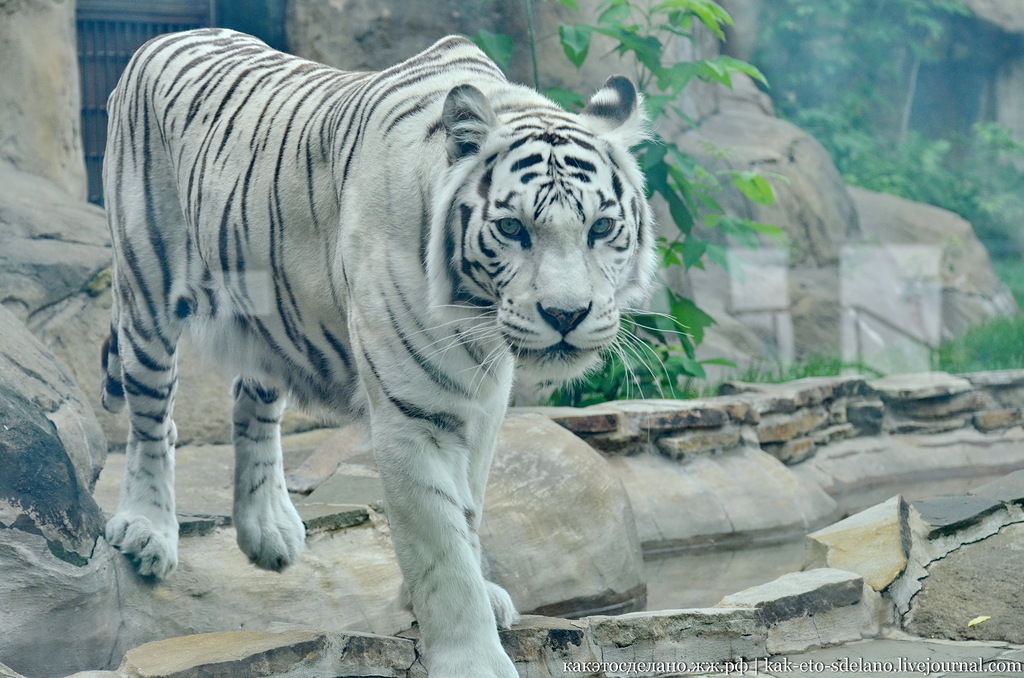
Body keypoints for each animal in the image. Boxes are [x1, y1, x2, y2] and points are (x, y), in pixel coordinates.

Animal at [101, 29, 655, 675]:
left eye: (601, 228)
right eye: (513, 229)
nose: (567, 315)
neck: (475, 315)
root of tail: (168, 36)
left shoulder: (483, 405)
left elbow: (468, 509)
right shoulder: (415, 413)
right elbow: (439, 546)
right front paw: (472, 655)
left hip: (270, 307)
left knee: (252, 400)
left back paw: (268, 530)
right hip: (148, 284)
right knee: (151, 417)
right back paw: (147, 530)